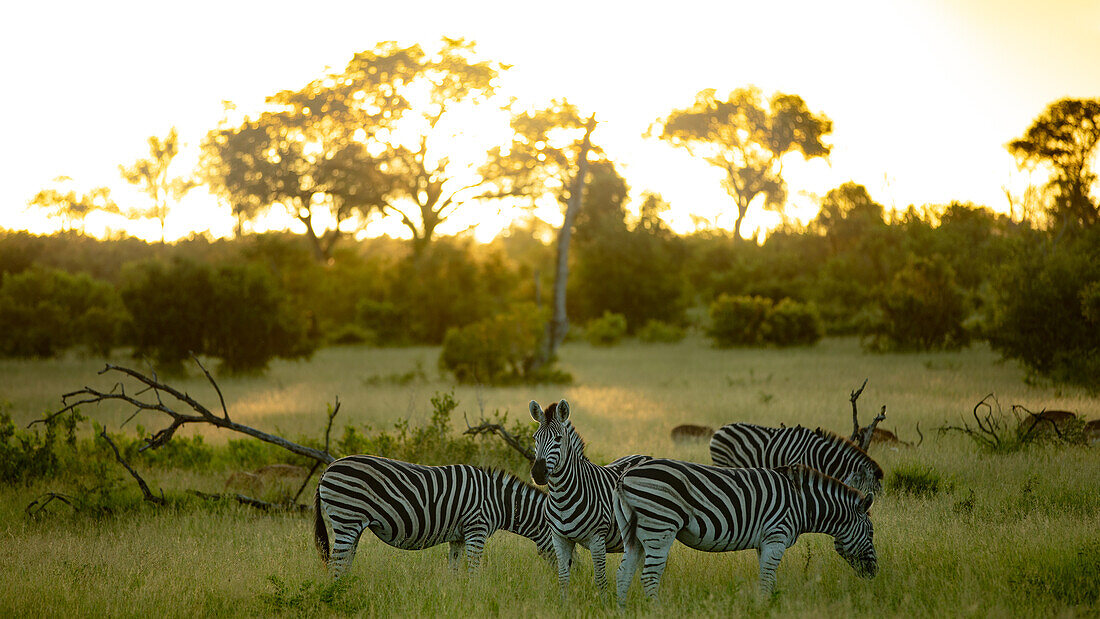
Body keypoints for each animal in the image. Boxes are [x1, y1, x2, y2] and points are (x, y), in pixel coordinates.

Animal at [314, 455, 554, 580]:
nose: (571, 571)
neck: (497, 501)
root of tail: (328, 468)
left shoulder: (459, 536)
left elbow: (454, 570)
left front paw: (457, 597)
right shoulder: (476, 529)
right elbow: (474, 570)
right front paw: (476, 595)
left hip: (353, 525)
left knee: (344, 562)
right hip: (346, 518)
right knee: (335, 564)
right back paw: (338, 594)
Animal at [530, 402, 651, 602]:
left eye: (558, 438)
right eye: (535, 438)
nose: (538, 473)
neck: (561, 498)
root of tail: (646, 456)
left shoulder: (597, 539)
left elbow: (600, 579)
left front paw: (604, 604)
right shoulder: (559, 538)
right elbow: (563, 578)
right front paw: (564, 605)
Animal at [611, 459, 875, 606]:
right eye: (871, 533)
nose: (874, 574)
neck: (802, 503)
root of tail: (625, 475)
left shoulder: (765, 542)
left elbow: (769, 579)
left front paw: (770, 605)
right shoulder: (776, 536)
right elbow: (767, 579)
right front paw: (764, 607)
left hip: (632, 532)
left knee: (624, 572)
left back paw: (621, 609)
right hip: (660, 526)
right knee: (649, 576)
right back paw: (657, 609)